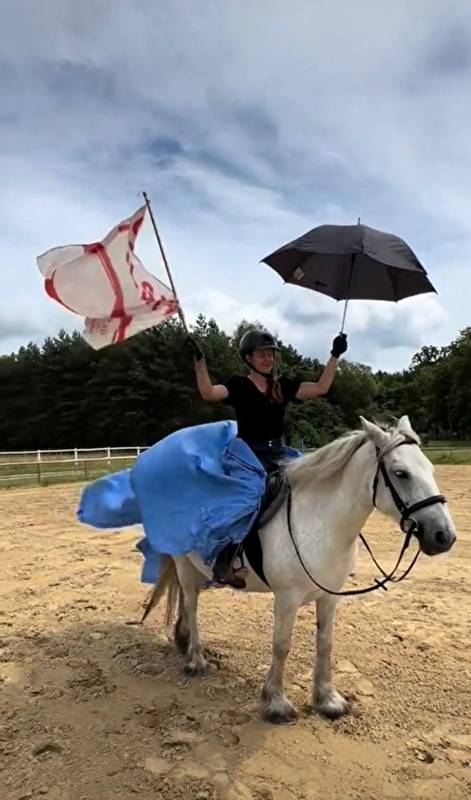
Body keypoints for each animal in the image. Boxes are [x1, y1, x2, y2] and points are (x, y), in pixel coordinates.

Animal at [143, 415, 456, 725]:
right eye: (401, 473)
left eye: (430, 468)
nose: (444, 536)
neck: (319, 524)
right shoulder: (287, 599)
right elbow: (282, 645)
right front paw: (276, 703)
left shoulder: (330, 597)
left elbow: (325, 643)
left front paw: (328, 700)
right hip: (184, 563)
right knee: (192, 605)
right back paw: (196, 660)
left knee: (186, 601)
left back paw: (184, 642)